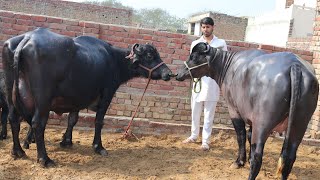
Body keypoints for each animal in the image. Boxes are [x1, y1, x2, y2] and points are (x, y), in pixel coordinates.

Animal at [1, 27, 172, 167]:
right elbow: (99, 121)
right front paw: (99, 147)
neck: (114, 60)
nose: (168, 73)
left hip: (10, 93)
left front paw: (66, 141)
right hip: (43, 100)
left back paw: (17, 151)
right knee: (37, 123)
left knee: (13, 119)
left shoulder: (76, 98)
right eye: (149, 55)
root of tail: (27, 38)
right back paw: (44, 159)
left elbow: (72, 120)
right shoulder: (107, 94)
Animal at [176, 42, 318, 180]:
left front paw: (239, 162)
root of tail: (294, 65)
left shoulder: (234, 110)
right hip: (299, 125)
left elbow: (241, 136)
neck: (228, 66)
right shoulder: (251, 118)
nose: (178, 74)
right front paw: (247, 160)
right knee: (289, 157)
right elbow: (249, 135)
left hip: (263, 123)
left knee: (258, 155)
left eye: (193, 57)